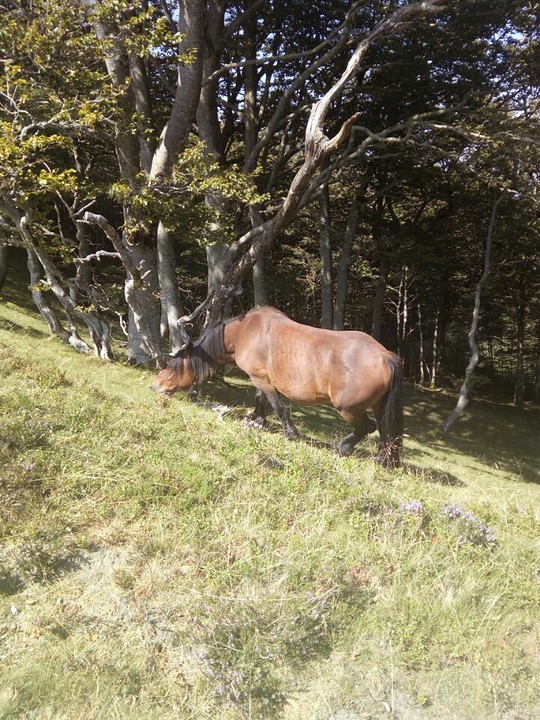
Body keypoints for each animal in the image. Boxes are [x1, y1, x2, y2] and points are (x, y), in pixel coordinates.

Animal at [152, 306, 403, 468]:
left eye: (173, 366)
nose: (155, 386)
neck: (245, 333)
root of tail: (384, 356)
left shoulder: (261, 379)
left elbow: (277, 406)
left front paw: (290, 432)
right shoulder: (259, 378)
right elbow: (260, 400)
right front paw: (257, 421)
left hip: (348, 408)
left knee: (367, 428)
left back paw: (342, 447)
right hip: (379, 406)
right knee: (386, 433)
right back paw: (383, 461)